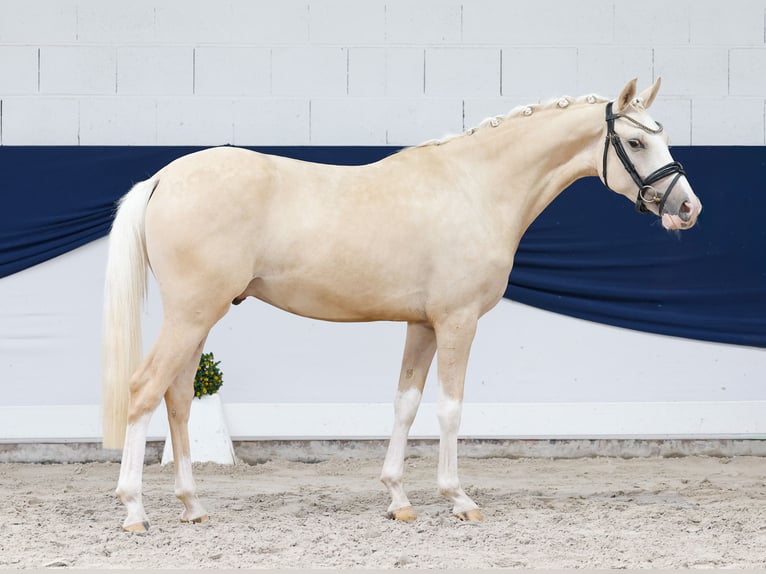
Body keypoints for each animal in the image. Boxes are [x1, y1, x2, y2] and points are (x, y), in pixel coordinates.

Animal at [102, 78, 702, 532]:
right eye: (638, 143)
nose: (688, 209)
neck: (475, 187)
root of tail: (163, 178)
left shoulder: (423, 324)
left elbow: (405, 404)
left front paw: (398, 499)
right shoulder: (457, 322)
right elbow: (450, 408)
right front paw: (458, 499)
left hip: (200, 317)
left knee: (178, 397)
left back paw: (193, 506)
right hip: (191, 314)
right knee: (144, 389)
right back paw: (133, 510)